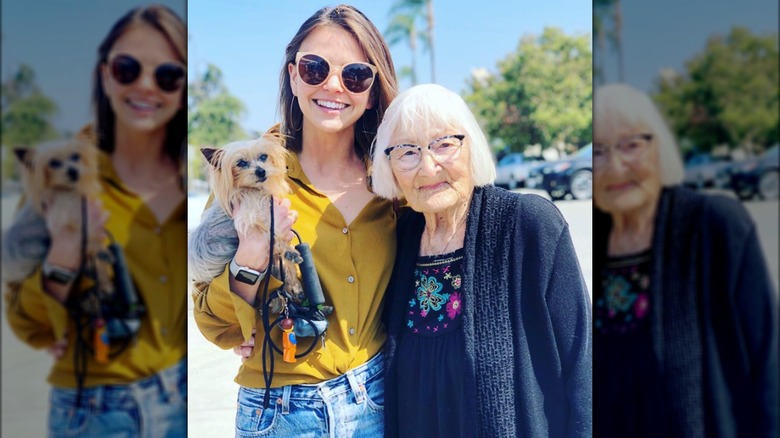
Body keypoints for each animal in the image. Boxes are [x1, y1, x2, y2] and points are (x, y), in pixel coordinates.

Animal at [12, 139, 114, 292]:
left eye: (76, 156)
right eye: (54, 163)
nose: (73, 171)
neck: (68, 192)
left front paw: (101, 254)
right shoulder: (63, 219)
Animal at [201, 132, 304, 306]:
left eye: (263, 156)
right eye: (241, 163)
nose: (261, 171)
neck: (255, 192)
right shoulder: (252, 218)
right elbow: (274, 235)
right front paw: (289, 251)